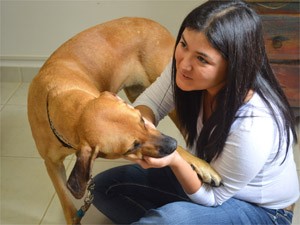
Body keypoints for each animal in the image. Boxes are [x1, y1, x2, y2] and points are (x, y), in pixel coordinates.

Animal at [27, 16, 221, 224]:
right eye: (132, 147)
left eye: (141, 120)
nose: (172, 144)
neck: (66, 105)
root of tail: (154, 23)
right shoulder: (52, 165)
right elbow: (68, 206)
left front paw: (203, 166)